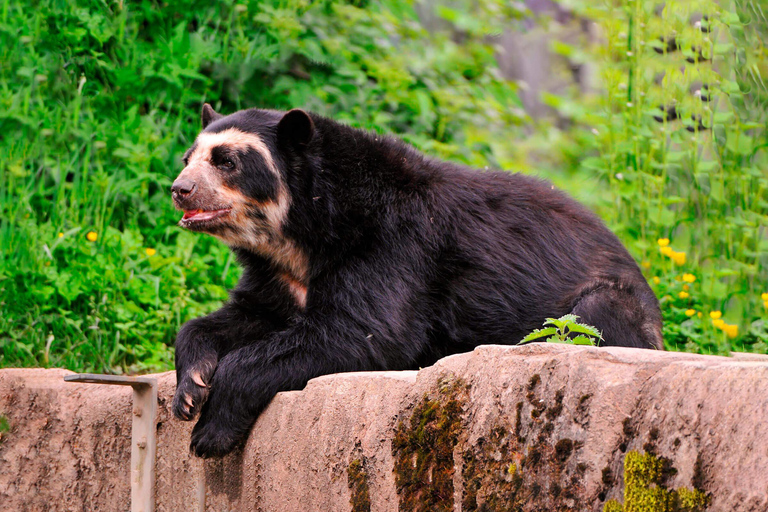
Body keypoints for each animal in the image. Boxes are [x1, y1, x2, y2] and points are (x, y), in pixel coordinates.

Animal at [171, 103, 664, 456]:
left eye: (226, 161)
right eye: (188, 158)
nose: (180, 189)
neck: (301, 232)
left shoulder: (394, 242)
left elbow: (364, 332)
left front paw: (211, 432)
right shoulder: (278, 274)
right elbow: (241, 316)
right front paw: (189, 390)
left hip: (610, 304)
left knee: (595, 317)